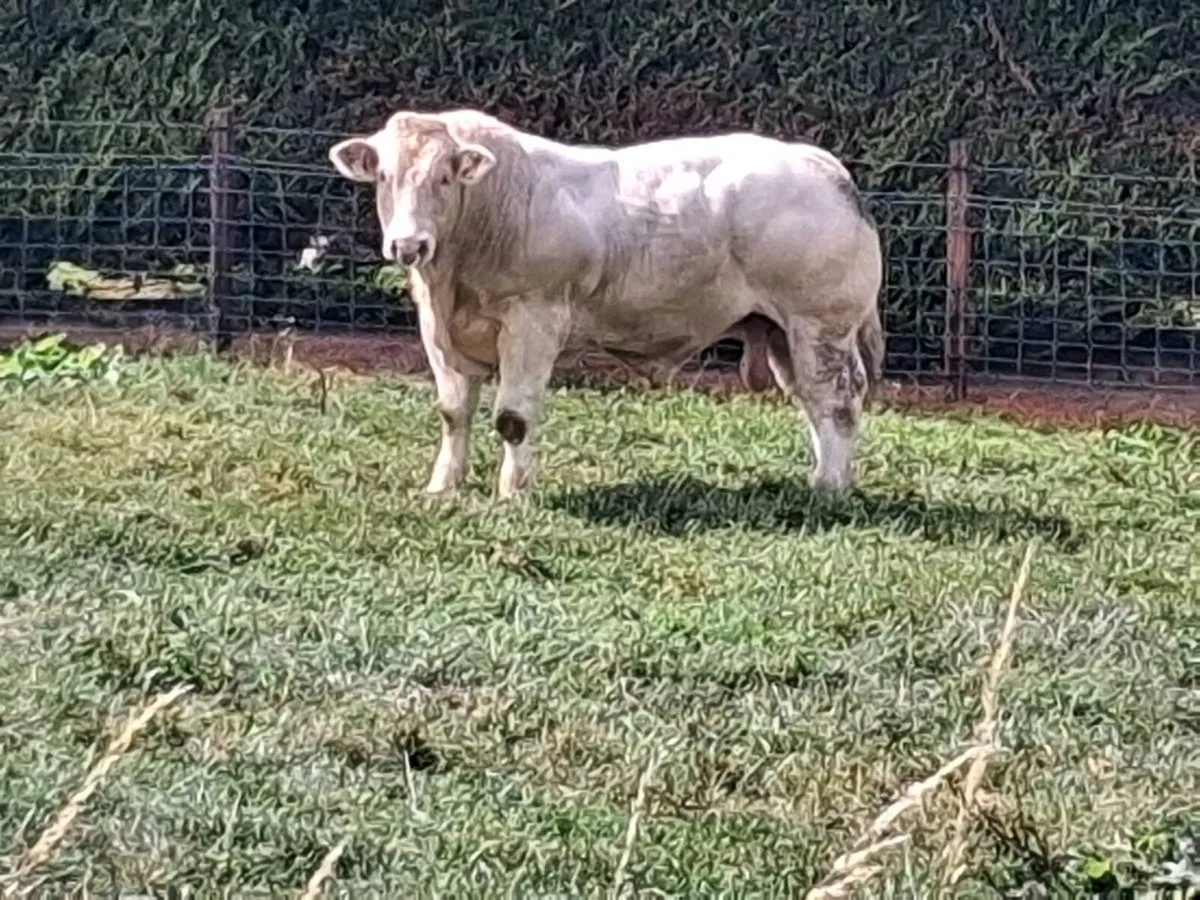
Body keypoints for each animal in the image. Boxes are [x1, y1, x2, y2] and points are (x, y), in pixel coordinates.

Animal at [328, 109, 884, 500]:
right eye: (384, 176)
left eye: (444, 177)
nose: (409, 244)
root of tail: (821, 165)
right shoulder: (438, 331)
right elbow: (452, 413)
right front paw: (443, 488)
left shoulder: (534, 321)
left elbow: (513, 417)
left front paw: (512, 494)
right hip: (782, 331)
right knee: (813, 401)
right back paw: (821, 478)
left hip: (820, 325)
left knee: (836, 400)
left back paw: (831, 488)